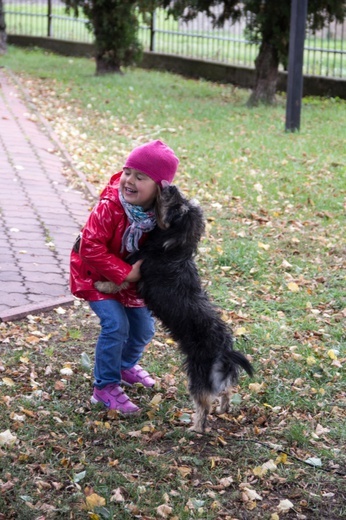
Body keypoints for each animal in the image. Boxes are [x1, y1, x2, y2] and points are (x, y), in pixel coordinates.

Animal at [96, 186, 253, 430]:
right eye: (184, 201)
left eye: (178, 208)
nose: (171, 187)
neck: (173, 249)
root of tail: (225, 351)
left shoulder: (136, 271)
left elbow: (117, 281)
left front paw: (100, 284)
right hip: (216, 376)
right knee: (226, 389)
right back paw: (223, 408)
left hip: (198, 373)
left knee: (203, 402)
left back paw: (196, 427)